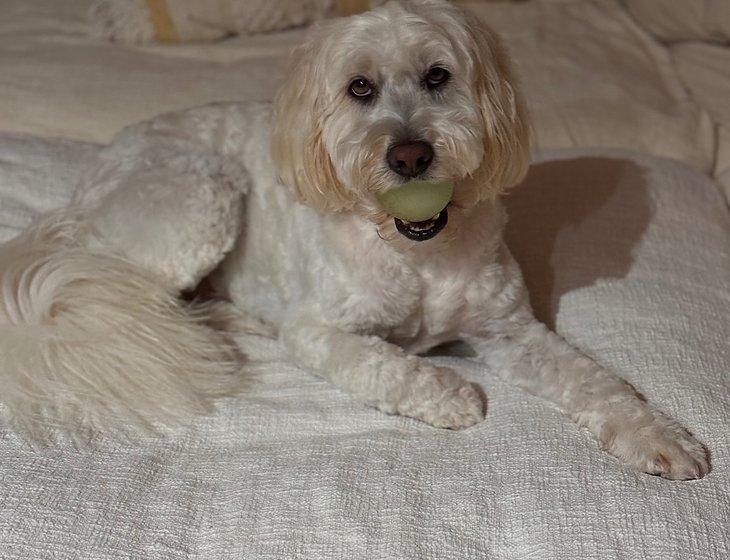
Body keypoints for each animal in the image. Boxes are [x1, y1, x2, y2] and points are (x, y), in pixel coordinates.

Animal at [0, 1, 704, 482]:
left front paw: (656, 435)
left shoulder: (510, 331)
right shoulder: (319, 329)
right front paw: (448, 393)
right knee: (137, 295)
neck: (416, 251)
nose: (410, 155)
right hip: (203, 197)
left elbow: (593, 380)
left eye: (438, 76)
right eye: (358, 87)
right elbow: (379, 363)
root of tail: (90, 179)